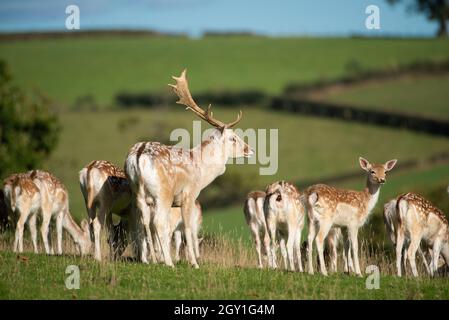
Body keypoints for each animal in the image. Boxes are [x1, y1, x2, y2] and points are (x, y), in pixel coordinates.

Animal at [124, 70, 254, 268]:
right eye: (233, 138)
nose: (250, 150)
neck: (202, 170)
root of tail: (138, 156)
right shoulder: (189, 194)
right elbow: (187, 228)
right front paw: (194, 263)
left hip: (136, 193)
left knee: (143, 221)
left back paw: (150, 260)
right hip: (163, 193)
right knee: (159, 222)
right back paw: (169, 263)